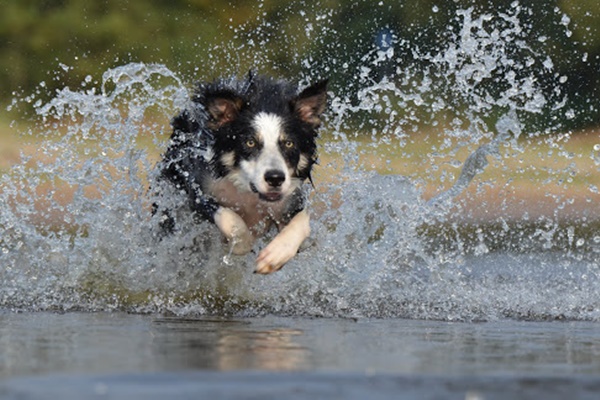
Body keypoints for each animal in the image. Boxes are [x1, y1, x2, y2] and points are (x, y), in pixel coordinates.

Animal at [152, 72, 326, 274]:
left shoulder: (291, 199)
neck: (248, 192)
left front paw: (275, 255)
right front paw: (241, 243)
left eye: (289, 143)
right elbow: (229, 218)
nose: (275, 178)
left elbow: (303, 221)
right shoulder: (198, 189)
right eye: (250, 142)